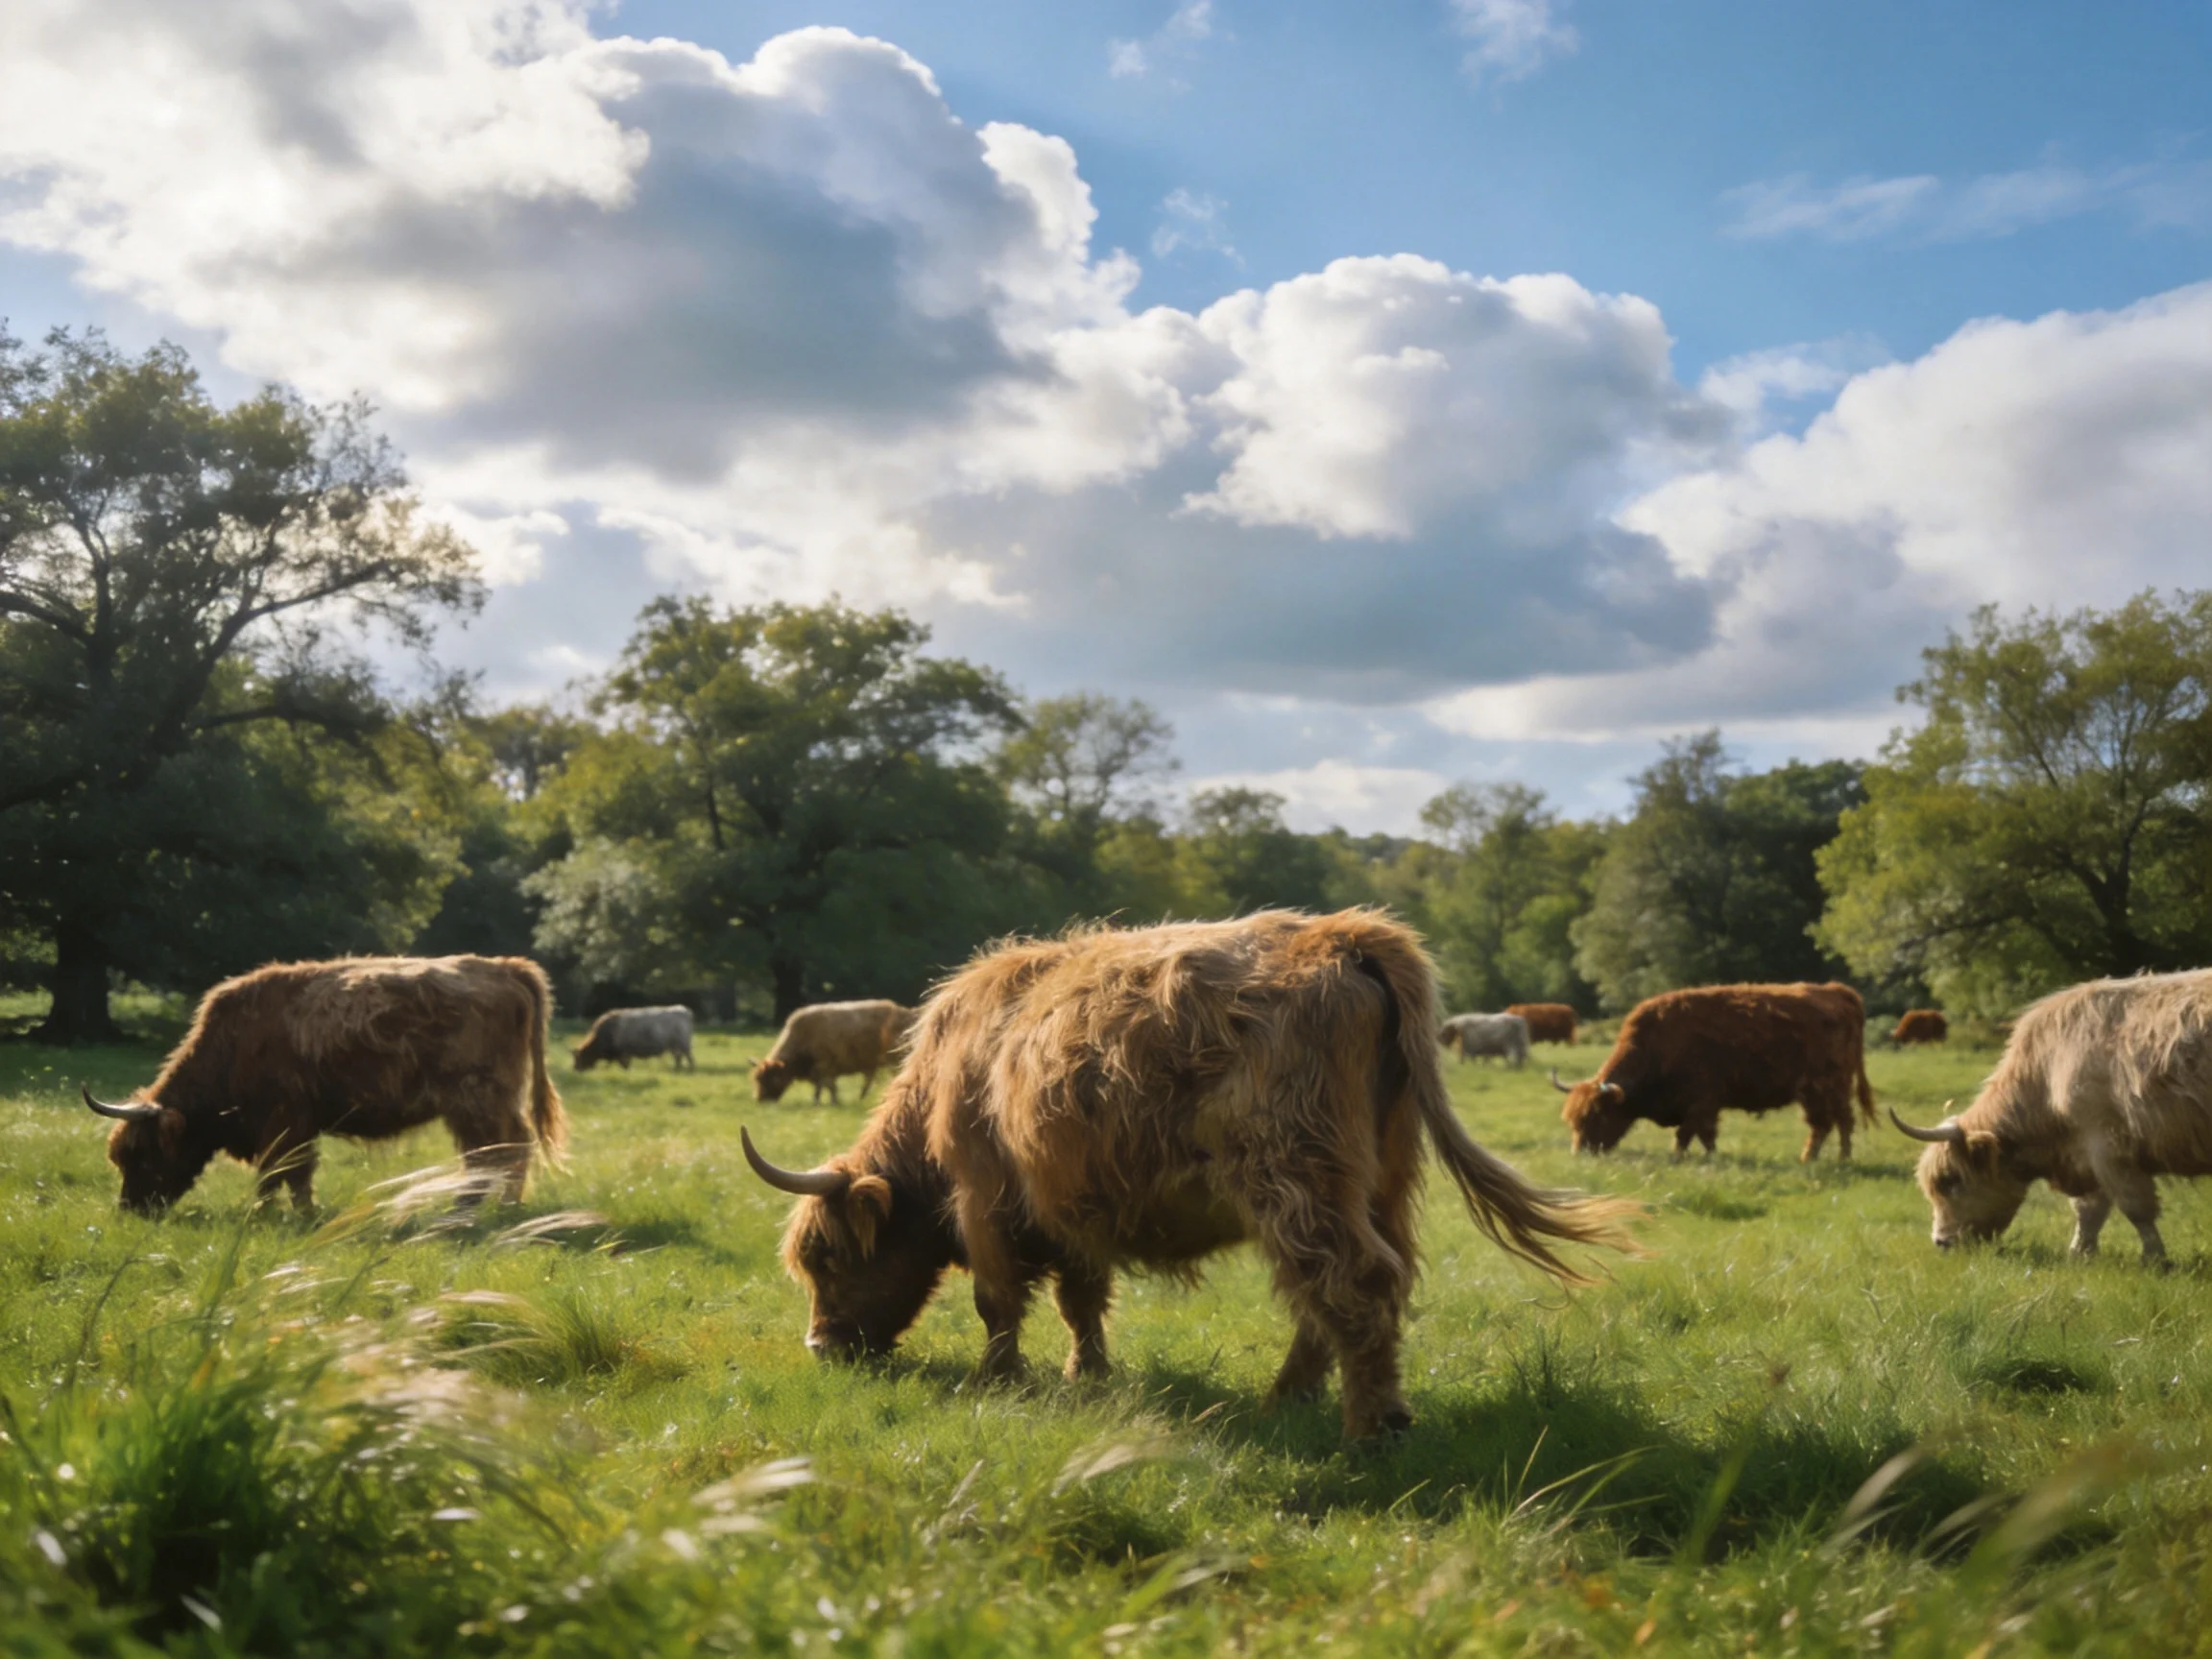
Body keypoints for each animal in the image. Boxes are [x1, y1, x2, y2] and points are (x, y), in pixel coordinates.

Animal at [81, 955, 566, 1215]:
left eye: (142, 1153)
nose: (130, 1209)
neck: (234, 1042)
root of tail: (503, 967)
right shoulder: (293, 1124)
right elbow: (285, 1174)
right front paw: (284, 1212)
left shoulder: (285, 1121)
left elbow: (283, 1169)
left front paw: (277, 1214)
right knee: (491, 1152)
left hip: (480, 1099)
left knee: (504, 1148)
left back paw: (490, 1209)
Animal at [752, 1000, 916, 1105]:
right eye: (757, 1079)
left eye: (769, 1078)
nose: (760, 1100)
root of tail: (907, 1012)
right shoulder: (823, 1070)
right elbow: (825, 1086)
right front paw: (823, 1100)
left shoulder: (825, 1065)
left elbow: (828, 1086)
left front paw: (826, 1101)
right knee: (869, 1080)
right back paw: (862, 1097)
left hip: (894, 1060)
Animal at [1553, 982, 1875, 1162]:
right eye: (1573, 1120)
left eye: (1596, 1116)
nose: (1579, 1152)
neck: (1656, 1045)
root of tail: (1837, 992)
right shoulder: (1704, 1107)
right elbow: (1704, 1136)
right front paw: (1710, 1157)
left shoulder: (1702, 1103)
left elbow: (1688, 1133)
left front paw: (1680, 1157)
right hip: (1832, 1091)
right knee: (1840, 1121)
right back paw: (1837, 1158)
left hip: (1820, 1090)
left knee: (1827, 1124)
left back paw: (1816, 1159)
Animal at [1891, 970, 2212, 1263]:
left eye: (1950, 1180)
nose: (1941, 1242)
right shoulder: (2087, 1153)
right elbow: (2088, 1210)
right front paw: (2080, 1254)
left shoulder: (2106, 1146)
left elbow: (2135, 1207)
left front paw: (2154, 1258)